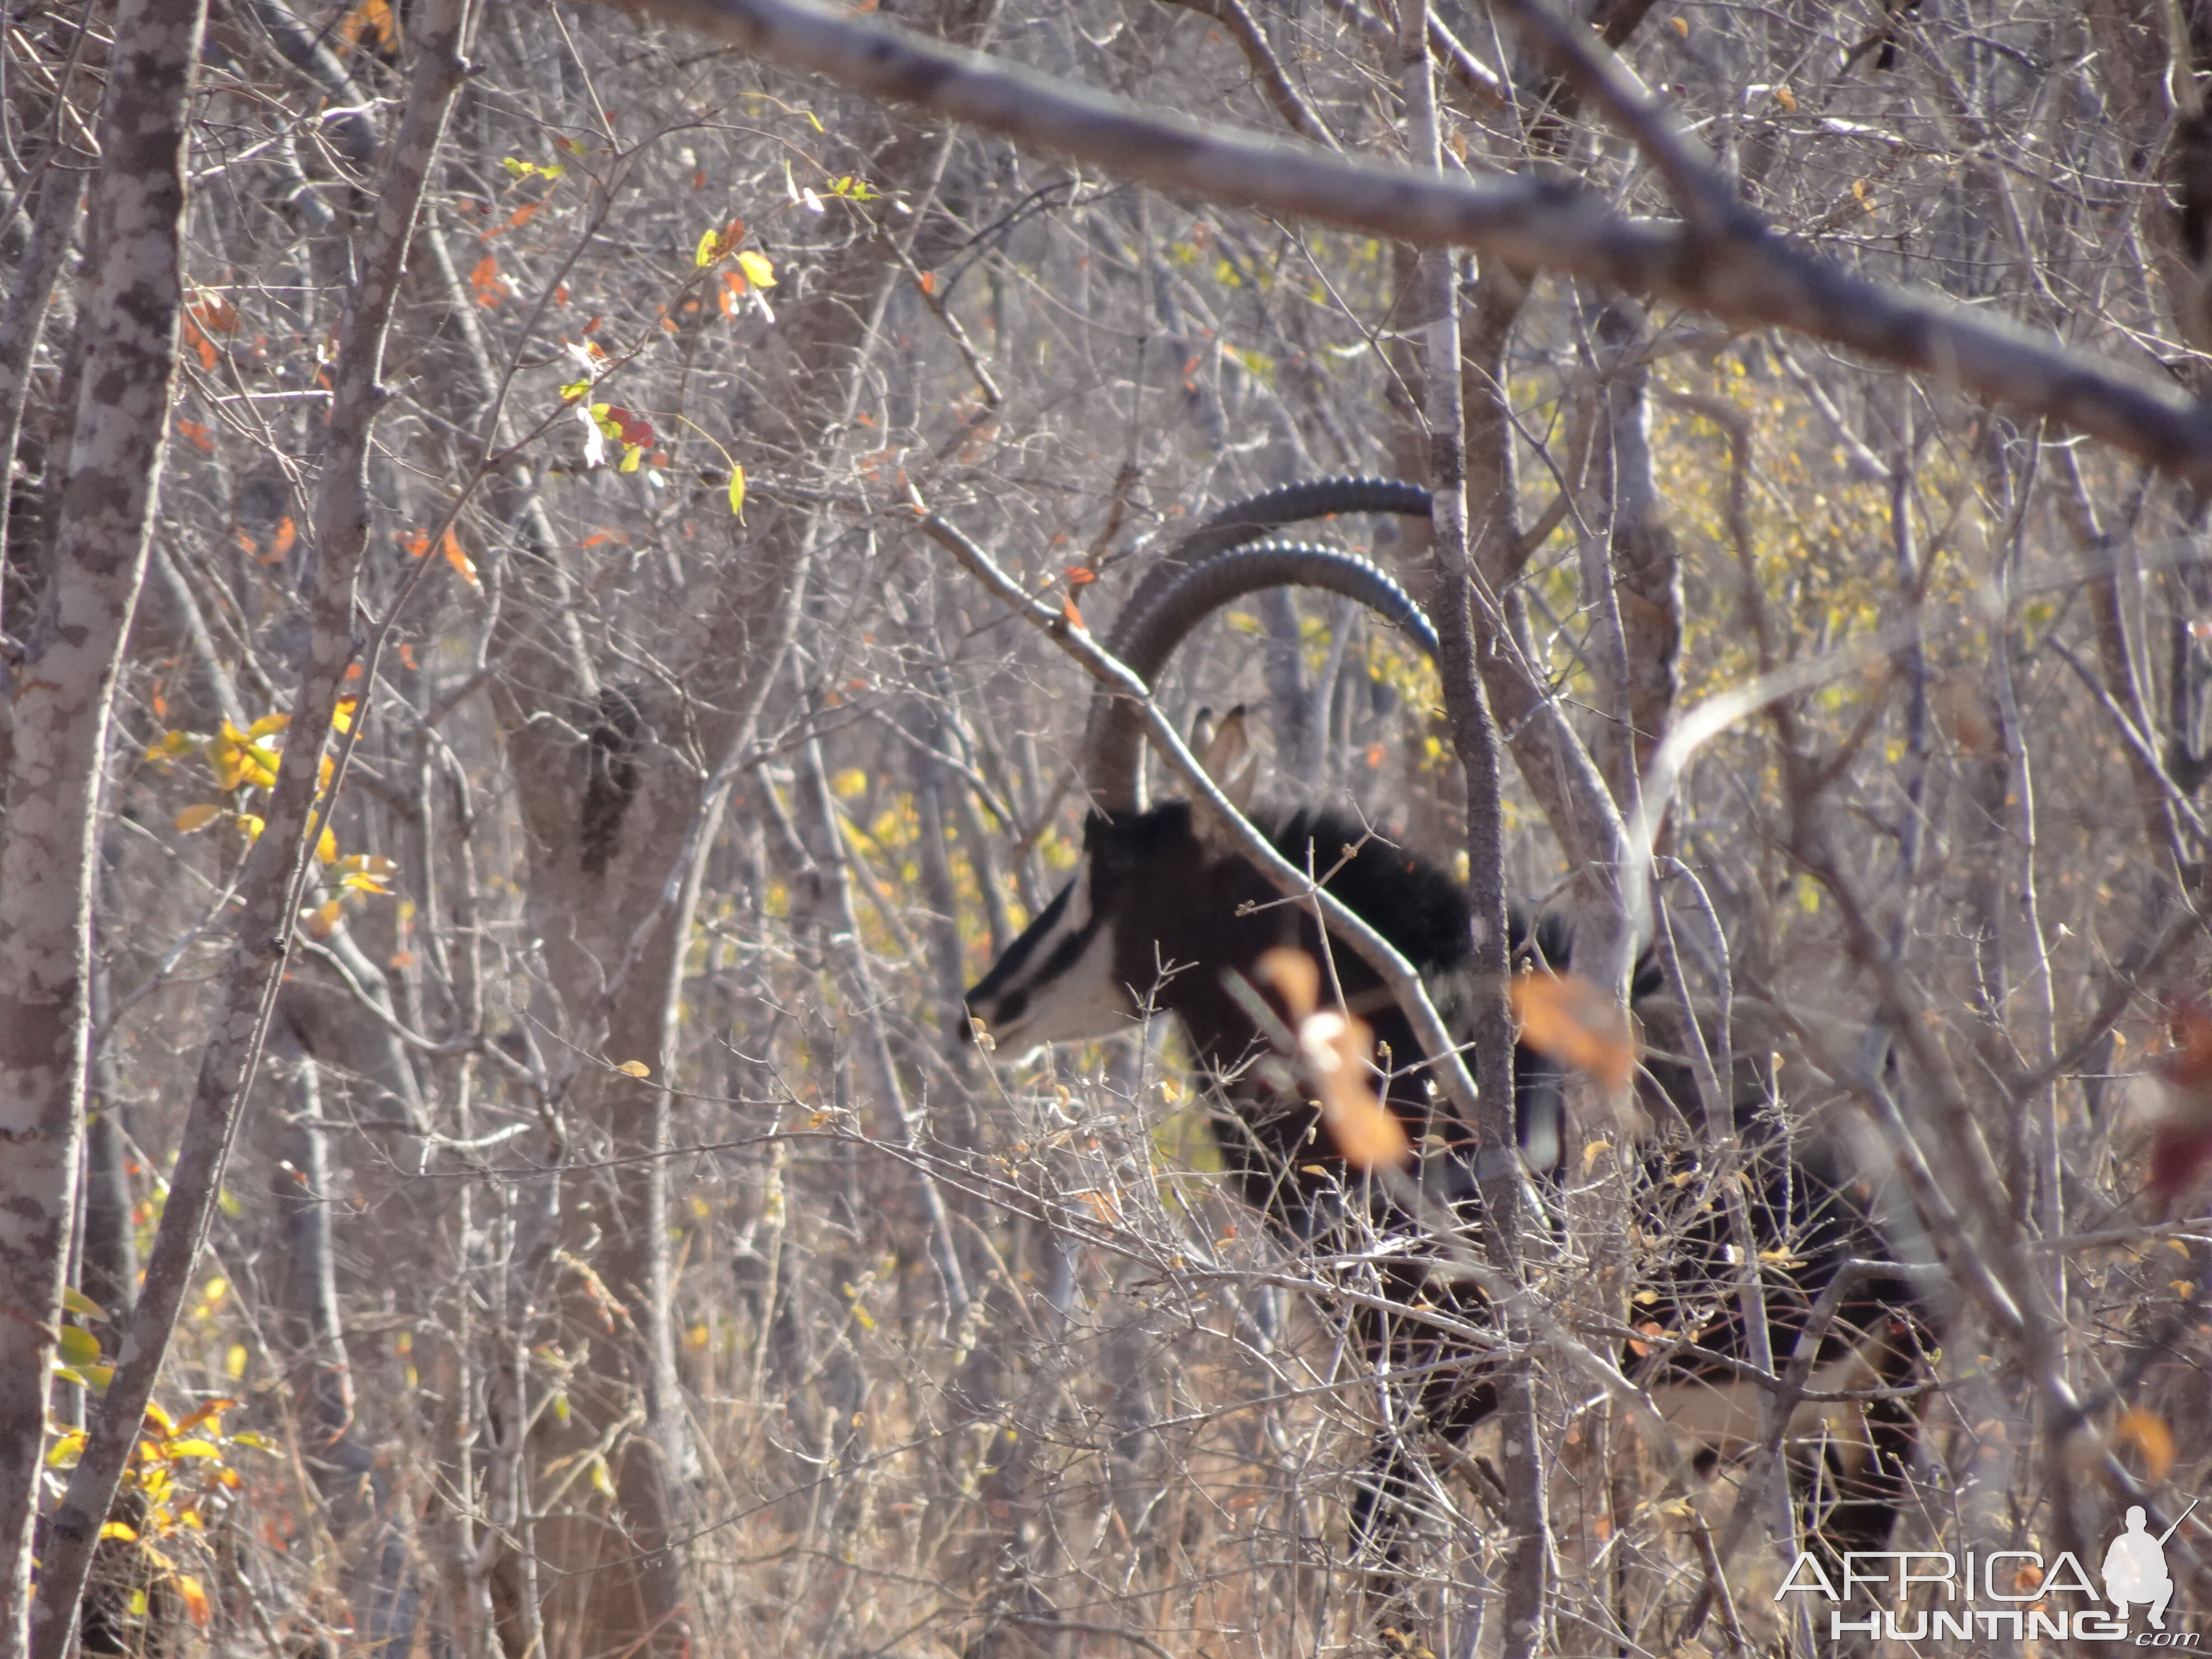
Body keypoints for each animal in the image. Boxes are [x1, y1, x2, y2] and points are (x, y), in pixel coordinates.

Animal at [960, 487, 1929, 1575]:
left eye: (1115, 868)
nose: (986, 1005)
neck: (1398, 1020)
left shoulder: (1452, 1372)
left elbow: (1377, 1551)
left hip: (1866, 1414)